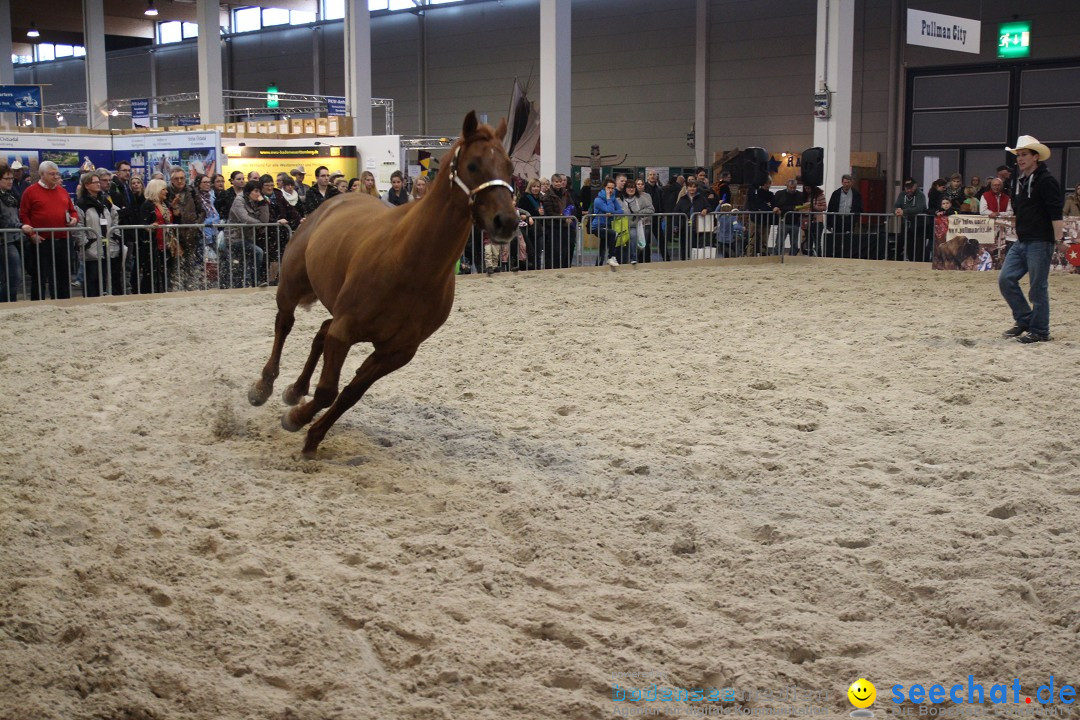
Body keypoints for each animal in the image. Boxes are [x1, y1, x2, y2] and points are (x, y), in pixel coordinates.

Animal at [248, 112, 518, 459]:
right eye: (473, 165)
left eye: (510, 167)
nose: (507, 222)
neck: (410, 263)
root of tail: (334, 200)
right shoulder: (345, 332)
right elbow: (327, 391)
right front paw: (296, 420)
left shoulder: (396, 352)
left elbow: (349, 395)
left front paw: (312, 435)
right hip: (292, 287)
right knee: (284, 324)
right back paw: (263, 387)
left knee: (320, 332)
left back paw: (295, 391)